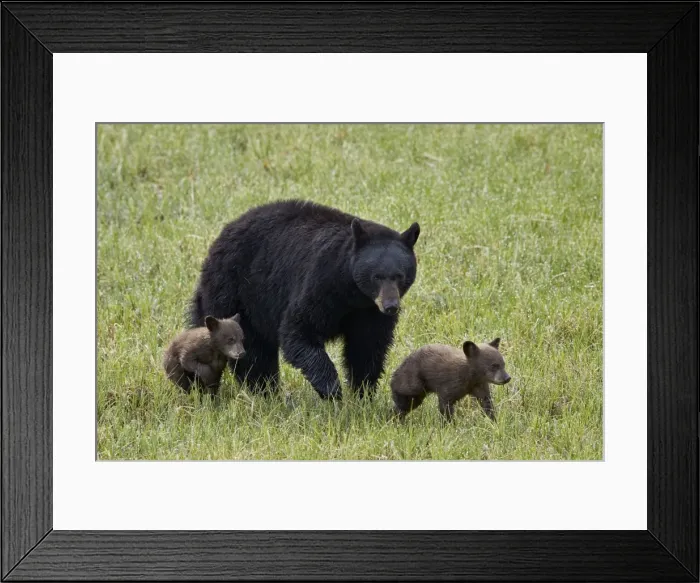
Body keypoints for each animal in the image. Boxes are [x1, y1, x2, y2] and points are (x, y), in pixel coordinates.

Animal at [190, 199, 420, 400]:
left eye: (400, 276)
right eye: (377, 277)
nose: (390, 306)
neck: (353, 293)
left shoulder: (369, 312)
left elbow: (367, 346)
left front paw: (363, 393)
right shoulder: (320, 284)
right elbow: (299, 330)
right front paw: (332, 390)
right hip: (236, 293)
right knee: (252, 352)